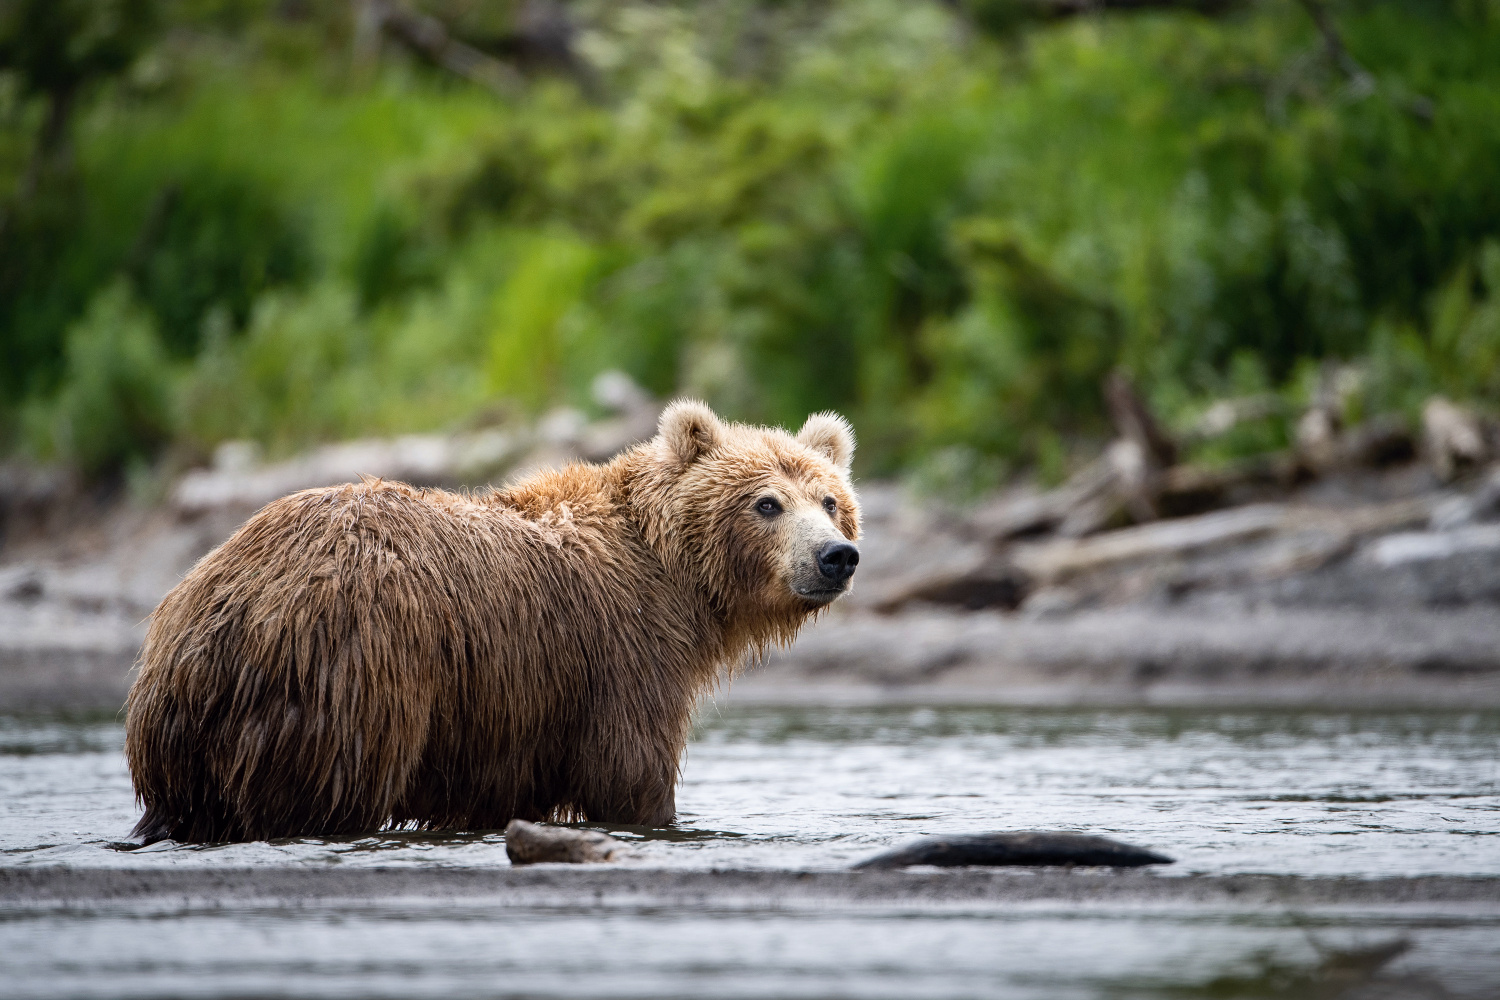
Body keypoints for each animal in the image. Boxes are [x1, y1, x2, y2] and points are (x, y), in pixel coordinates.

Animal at [124, 398, 864, 845]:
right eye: (766, 503)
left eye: (830, 499)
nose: (836, 556)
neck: (674, 574)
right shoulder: (619, 656)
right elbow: (629, 770)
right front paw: (657, 821)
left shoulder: (505, 722)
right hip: (351, 674)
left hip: (182, 726)